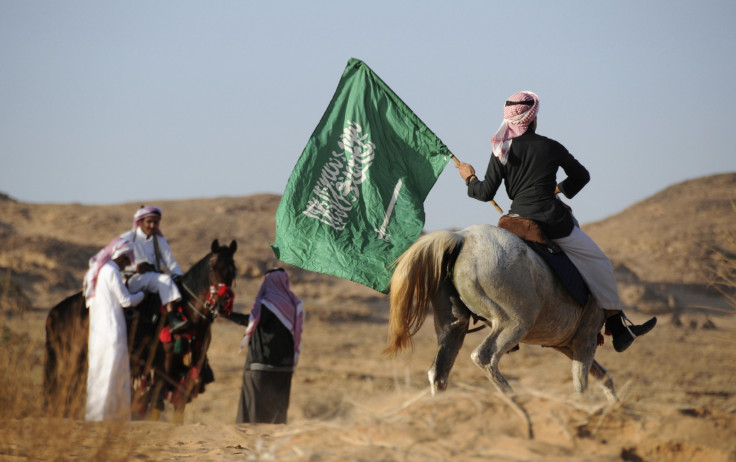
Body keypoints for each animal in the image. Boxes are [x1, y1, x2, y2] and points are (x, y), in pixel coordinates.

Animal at [43, 240, 237, 424]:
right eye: (212, 267)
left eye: (233, 270)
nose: (221, 304)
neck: (187, 313)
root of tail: (56, 310)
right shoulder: (163, 366)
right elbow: (157, 403)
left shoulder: (191, 366)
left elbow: (179, 406)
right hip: (71, 359)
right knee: (62, 391)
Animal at [388, 225, 620, 404]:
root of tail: (462, 238)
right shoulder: (585, 337)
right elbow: (582, 384)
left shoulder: (564, 344)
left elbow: (601, 376)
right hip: (513, 322)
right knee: (484, 357)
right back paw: (516, 401)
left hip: (454, 325)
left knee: (439, 372)